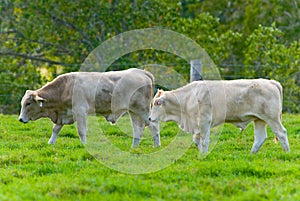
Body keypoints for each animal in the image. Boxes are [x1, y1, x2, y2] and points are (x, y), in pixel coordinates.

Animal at [19, 68, 161, 147]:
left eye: (28, 103)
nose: (20, 119)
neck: (65, 88)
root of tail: (142, 72)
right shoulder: (63, 114)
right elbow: (56, 129)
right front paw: (51, 143)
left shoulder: (80, 111)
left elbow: (81, 131)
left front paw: (84, 145)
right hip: (133, 111)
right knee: (138, 129)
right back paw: (134, 147)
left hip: (143, 110)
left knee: (153, 126)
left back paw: (157, 146)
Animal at [150, 79, 290, 153]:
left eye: (157, 103)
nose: (150, 118)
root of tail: (271, 82)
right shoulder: (197, 125)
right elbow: (196, 140)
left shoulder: (205, 122)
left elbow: (204, 140)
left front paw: (203, 154)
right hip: (259, 119)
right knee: (260, 138)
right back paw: (251, 154)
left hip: (272, 118)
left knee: (281, 132)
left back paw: (287, 153)